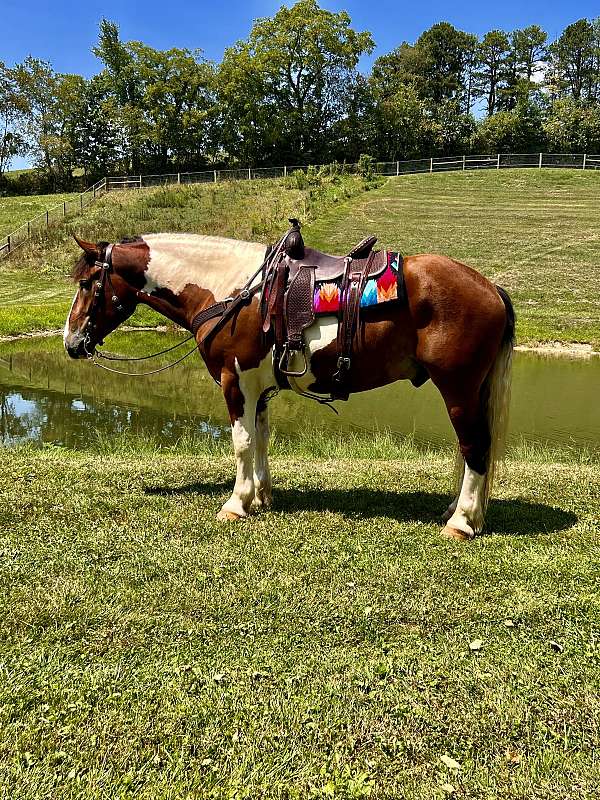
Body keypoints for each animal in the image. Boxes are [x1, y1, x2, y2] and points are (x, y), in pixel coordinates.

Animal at [64, 233, 516, 544]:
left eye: (87, 283)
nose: (70, 343)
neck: (229, 291)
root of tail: (489, 287)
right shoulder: (259, 389)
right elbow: (262, 439)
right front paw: (261, 496)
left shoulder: (235, 382)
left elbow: (242, 442)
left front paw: (236, 503)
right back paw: (457, 509)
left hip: (458, 390)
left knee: (475, 447)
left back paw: (461, 522)